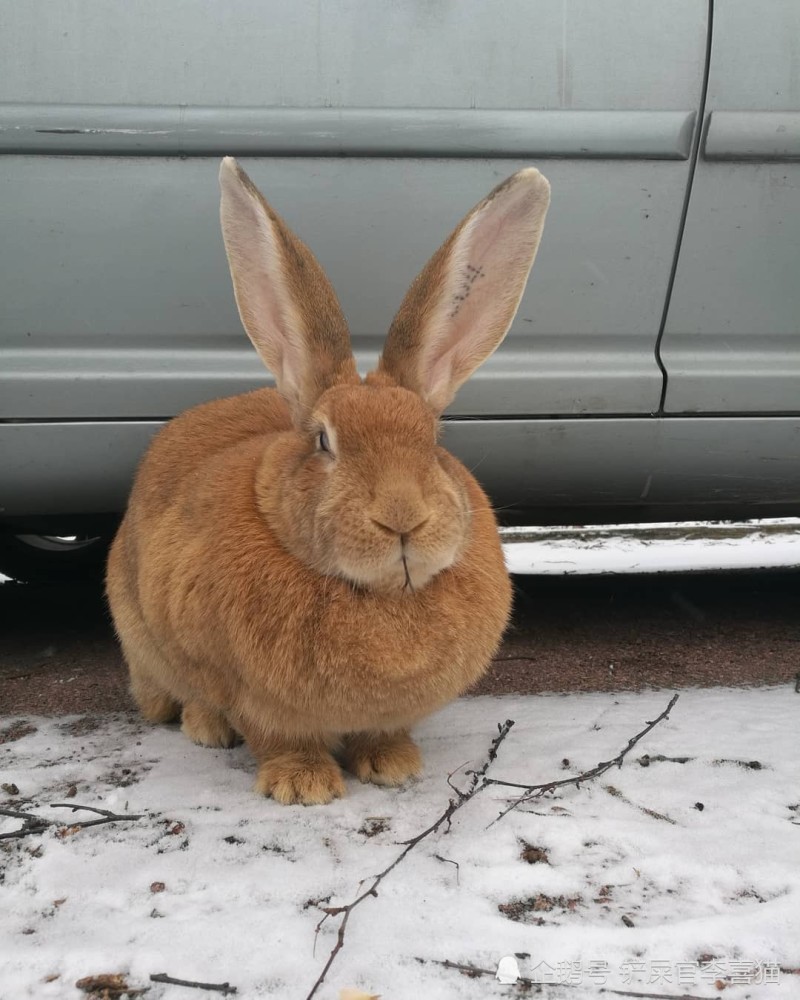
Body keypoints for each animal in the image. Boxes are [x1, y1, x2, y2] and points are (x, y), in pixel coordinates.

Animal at [106, 158, 552, 804]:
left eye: (432, 441)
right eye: (323, 441)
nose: (402, 518)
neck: (381, 595)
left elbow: (382, 732)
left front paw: (394, 766)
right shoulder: (256, 699)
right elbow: (277, 735)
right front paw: (303, 786)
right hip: (144, 643)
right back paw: (207, 728)